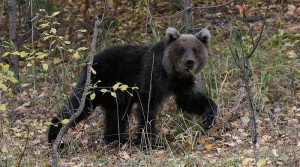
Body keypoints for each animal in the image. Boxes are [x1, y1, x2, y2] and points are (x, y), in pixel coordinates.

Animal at [47, 27, 216, 147]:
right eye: (181, 50)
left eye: (195, 49)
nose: (189, 62)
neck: (172, 74)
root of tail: (90, 61)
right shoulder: (152, 76)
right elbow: (148, 108)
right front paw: (149, 142)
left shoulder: (183, 83)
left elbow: (189, 100)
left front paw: (208, 118)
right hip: (97, 83)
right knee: (78, 106)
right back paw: (55, 137)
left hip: (116, 94)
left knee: (116, 114)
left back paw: (115, 139)